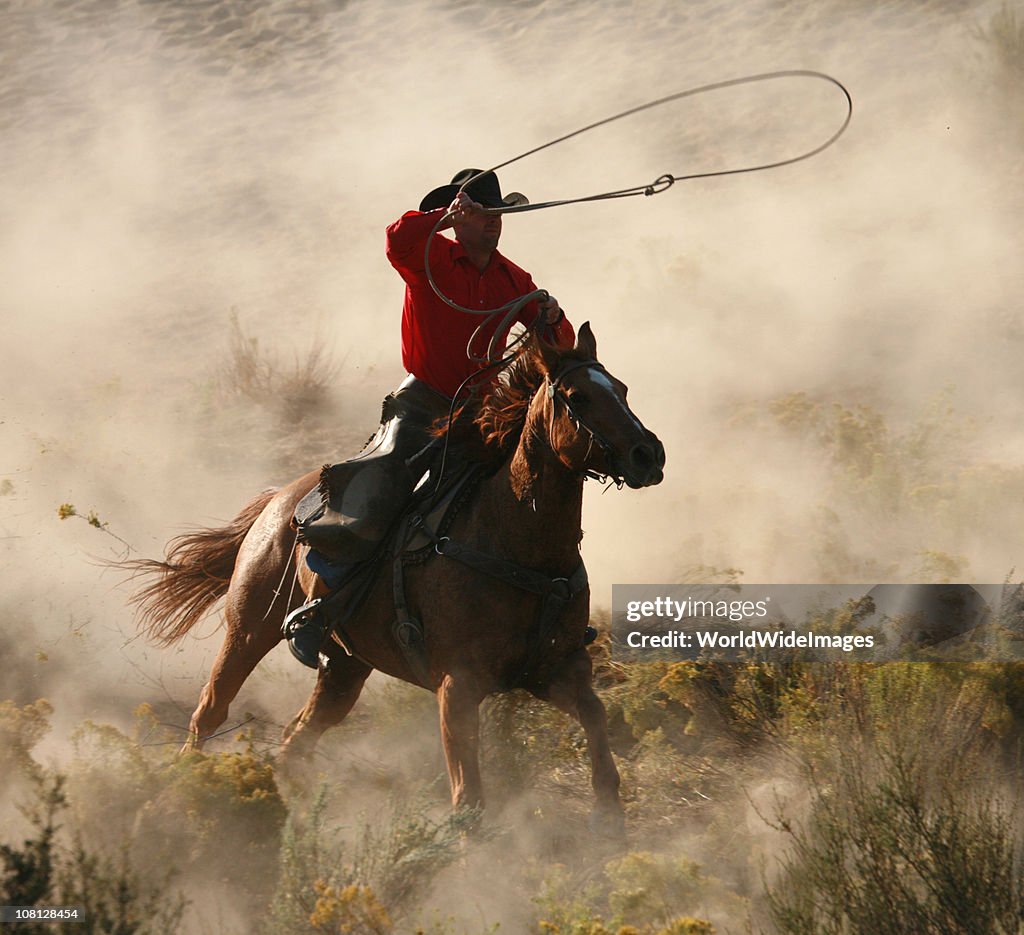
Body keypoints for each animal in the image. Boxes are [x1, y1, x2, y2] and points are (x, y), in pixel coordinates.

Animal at [125, 325, 663, 827]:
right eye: (578, 396)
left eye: (622, 388)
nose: (648, 454)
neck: (515, 543)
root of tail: (278, 499)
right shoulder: (458, 686)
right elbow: (469, 798)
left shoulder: (556, 669)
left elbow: (597, 725)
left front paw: (610, 824)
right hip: (249, 629)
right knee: (210, 711)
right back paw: (187, 790)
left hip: (344, 667)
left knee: (297, 737)